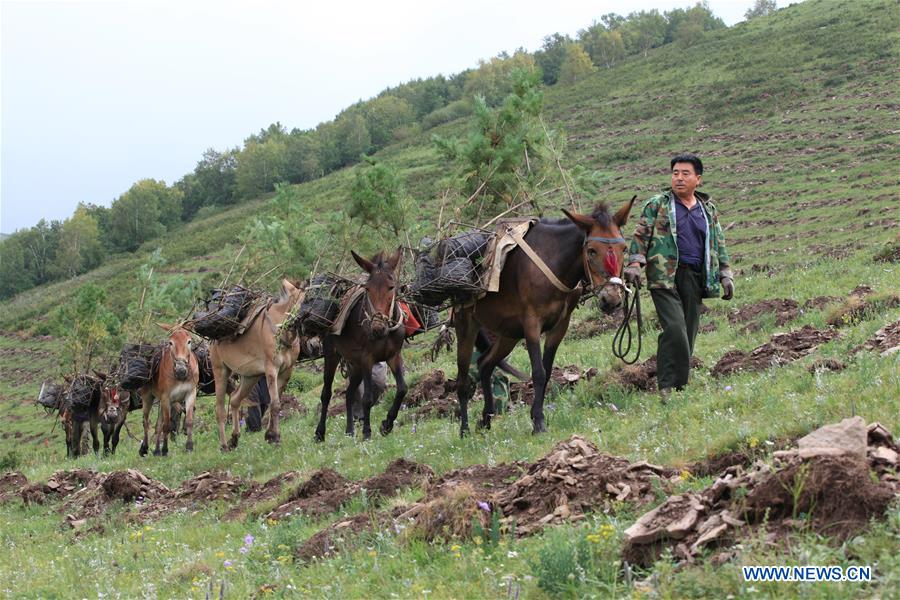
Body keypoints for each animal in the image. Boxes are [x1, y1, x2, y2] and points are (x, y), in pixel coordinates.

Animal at [138, 326, 200, 458]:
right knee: (146, 421)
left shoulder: (190, 394)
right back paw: (144, 449)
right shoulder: (166, 398)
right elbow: (167, 425)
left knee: (158, 424)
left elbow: (189, 421)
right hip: (148, 397)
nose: (181, 370)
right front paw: (165, 450)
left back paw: (156, 451)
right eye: (171, 342)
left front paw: (189, 447)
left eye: (189, 341)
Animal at [213, 278, 304, 448]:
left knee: (235, 400)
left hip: (250, 377)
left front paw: (270, 435)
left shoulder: (286, 371)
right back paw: (223, 446)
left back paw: (234, 438)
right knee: (220, 410)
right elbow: (275, 404)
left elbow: (273, 404)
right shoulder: (271, 370)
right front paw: (275, 437)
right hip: (220, 371)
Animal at [312, 247, 404, 440]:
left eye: (391, 287)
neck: (385, 333)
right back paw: (320, 433)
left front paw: (387, 424)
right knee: (326, 394)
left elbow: (402, 389)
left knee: (349, 393)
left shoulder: (394, 356)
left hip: (355, 365)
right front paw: (367, 432)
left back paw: (349, 431)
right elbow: (367, 398)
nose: (377, 328)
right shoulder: (367, 359)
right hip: (333, 355)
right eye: (367, 288)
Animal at [458, 200, 632, 436]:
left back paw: (486, 418)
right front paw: (539, 423)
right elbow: (538, 372)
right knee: (462, 382)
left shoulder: (560, 326)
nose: (611, 299)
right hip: (466, 326)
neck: (554, 263)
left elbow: (548, 371)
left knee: (485, 364)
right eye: (591, 250)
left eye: (624, 249)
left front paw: (536, 415)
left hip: (509, 333)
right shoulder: (532, 323)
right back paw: (464, 430)